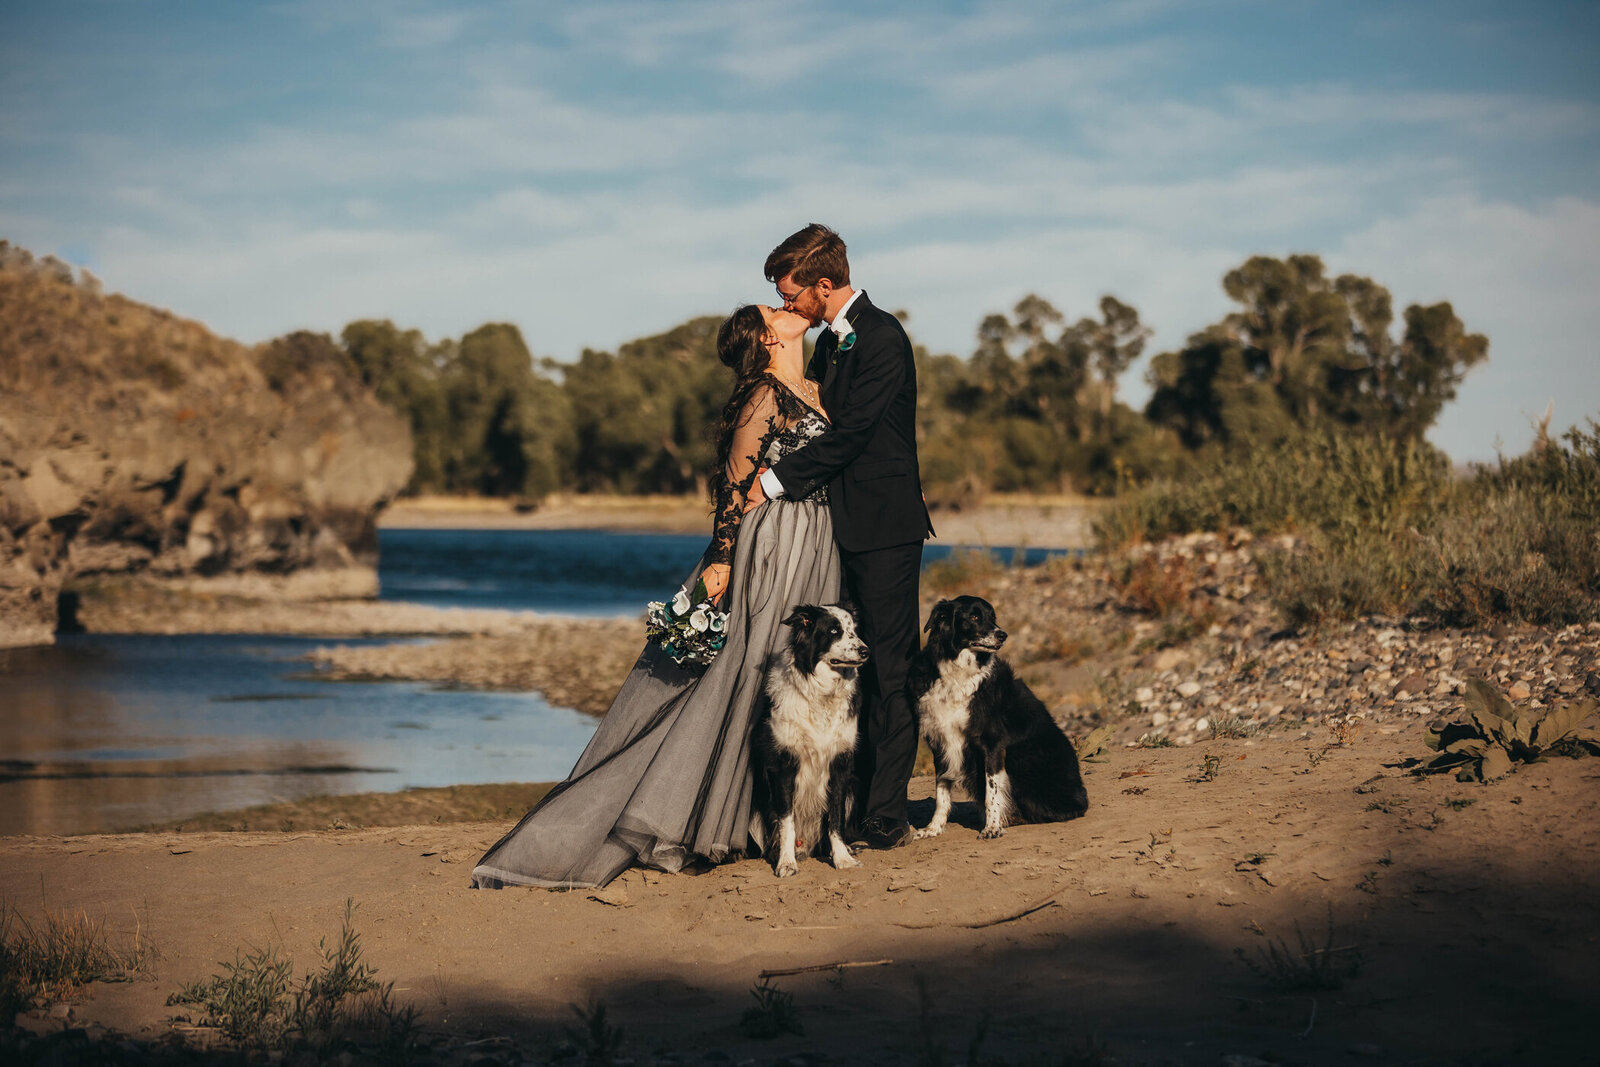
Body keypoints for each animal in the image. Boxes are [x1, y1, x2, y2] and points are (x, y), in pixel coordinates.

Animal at [752, 604, 870, 883]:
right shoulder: (783, 765)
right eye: (834, 631)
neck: (822, 693)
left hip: (854, 786)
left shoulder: (840, 763)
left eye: (853, 629)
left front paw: (842, 858)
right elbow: (787, 821)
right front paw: (786, 863)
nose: (865, 651)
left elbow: (835, 818)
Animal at [915, 598, 1088, 838]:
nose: (1003, 635)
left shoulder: (992, 743)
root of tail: (1081, 796)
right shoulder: (940, 740)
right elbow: (942, 790)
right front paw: (934, 828)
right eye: (975, 617)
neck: (959, 672)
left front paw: (993, 827)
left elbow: (992, 790)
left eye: (993, 617)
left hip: (1022, 755)